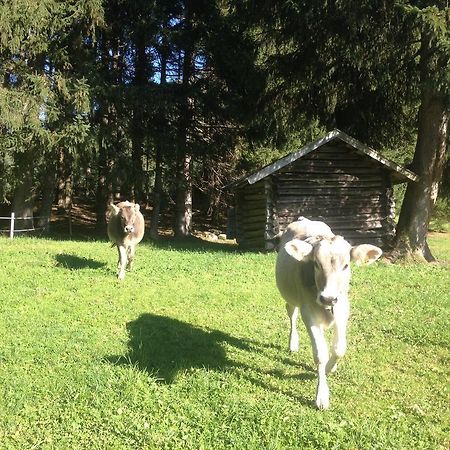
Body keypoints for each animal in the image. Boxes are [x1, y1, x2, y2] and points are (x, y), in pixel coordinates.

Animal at [274, 216, 384, 410]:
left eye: (346, 265)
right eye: (316, 264)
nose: (328, 298)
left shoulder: (342, 308)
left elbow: (339, 348)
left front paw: (330, 368)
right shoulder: (308, 313)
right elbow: (320, 354)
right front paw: (322, 396)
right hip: (291, 298)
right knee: (292, 315)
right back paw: (293, 343)